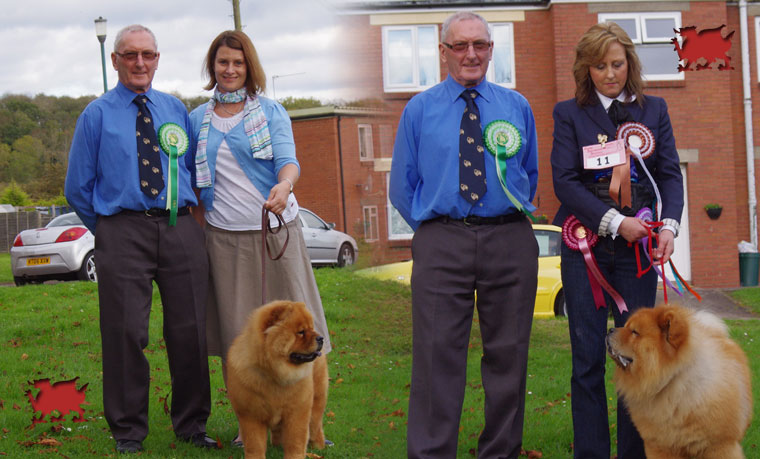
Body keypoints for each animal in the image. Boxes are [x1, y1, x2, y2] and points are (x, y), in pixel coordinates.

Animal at [223, 302, 326, 459]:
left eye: (311, 328)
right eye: (301, 332)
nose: (321, 338)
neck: (274, 373)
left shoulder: (296, 413)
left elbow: (295, 442)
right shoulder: (251, 415)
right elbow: (255, 444)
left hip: (316, 400)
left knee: (315, 425)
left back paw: (319, 447)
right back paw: (277, 445)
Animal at [608, 306, 752, 459]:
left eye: (635, 332)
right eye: (626, 326)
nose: (610, 330)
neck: (673, 383)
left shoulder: (719, 445)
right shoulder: (660, 445)